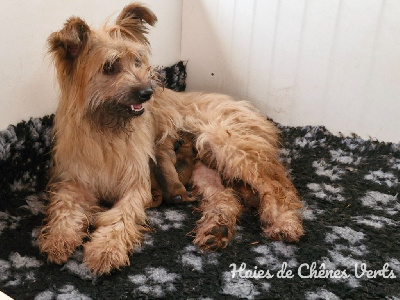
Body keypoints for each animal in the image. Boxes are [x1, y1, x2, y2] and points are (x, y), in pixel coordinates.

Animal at [39, 2, 304, 274]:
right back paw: (216, 229)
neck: (105, 129)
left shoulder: (136, 184)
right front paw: (58, 240)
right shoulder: (73, 181)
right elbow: (64, 208)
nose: (147, 92)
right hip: (204, 169)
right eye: (109, 66)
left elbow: (121, 216)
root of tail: (244, 106)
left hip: (232, 148)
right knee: (225, 197)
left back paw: (285, 222)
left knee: (277, 186)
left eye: (137, 61)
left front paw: (107, 249)